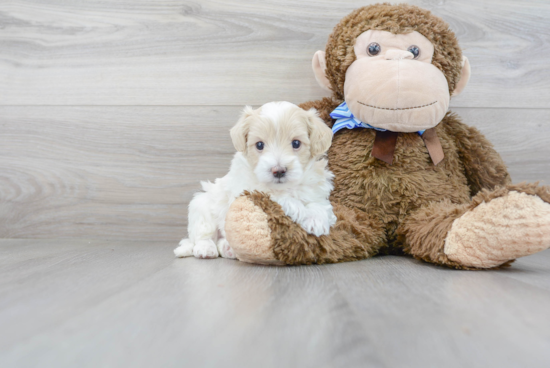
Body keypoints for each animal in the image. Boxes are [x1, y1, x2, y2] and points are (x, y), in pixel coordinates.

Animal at [175, 100, 338, 258]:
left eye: (296, 143)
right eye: (259, 145)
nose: (278, 171)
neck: (285, 187)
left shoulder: (317, 190)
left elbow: (319, 204)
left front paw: (316, 220)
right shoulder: (246, 191)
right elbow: (276, 197)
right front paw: (299, 209)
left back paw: (228, 249)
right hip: (201, 207)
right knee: (203, 236)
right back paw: (206, 249)